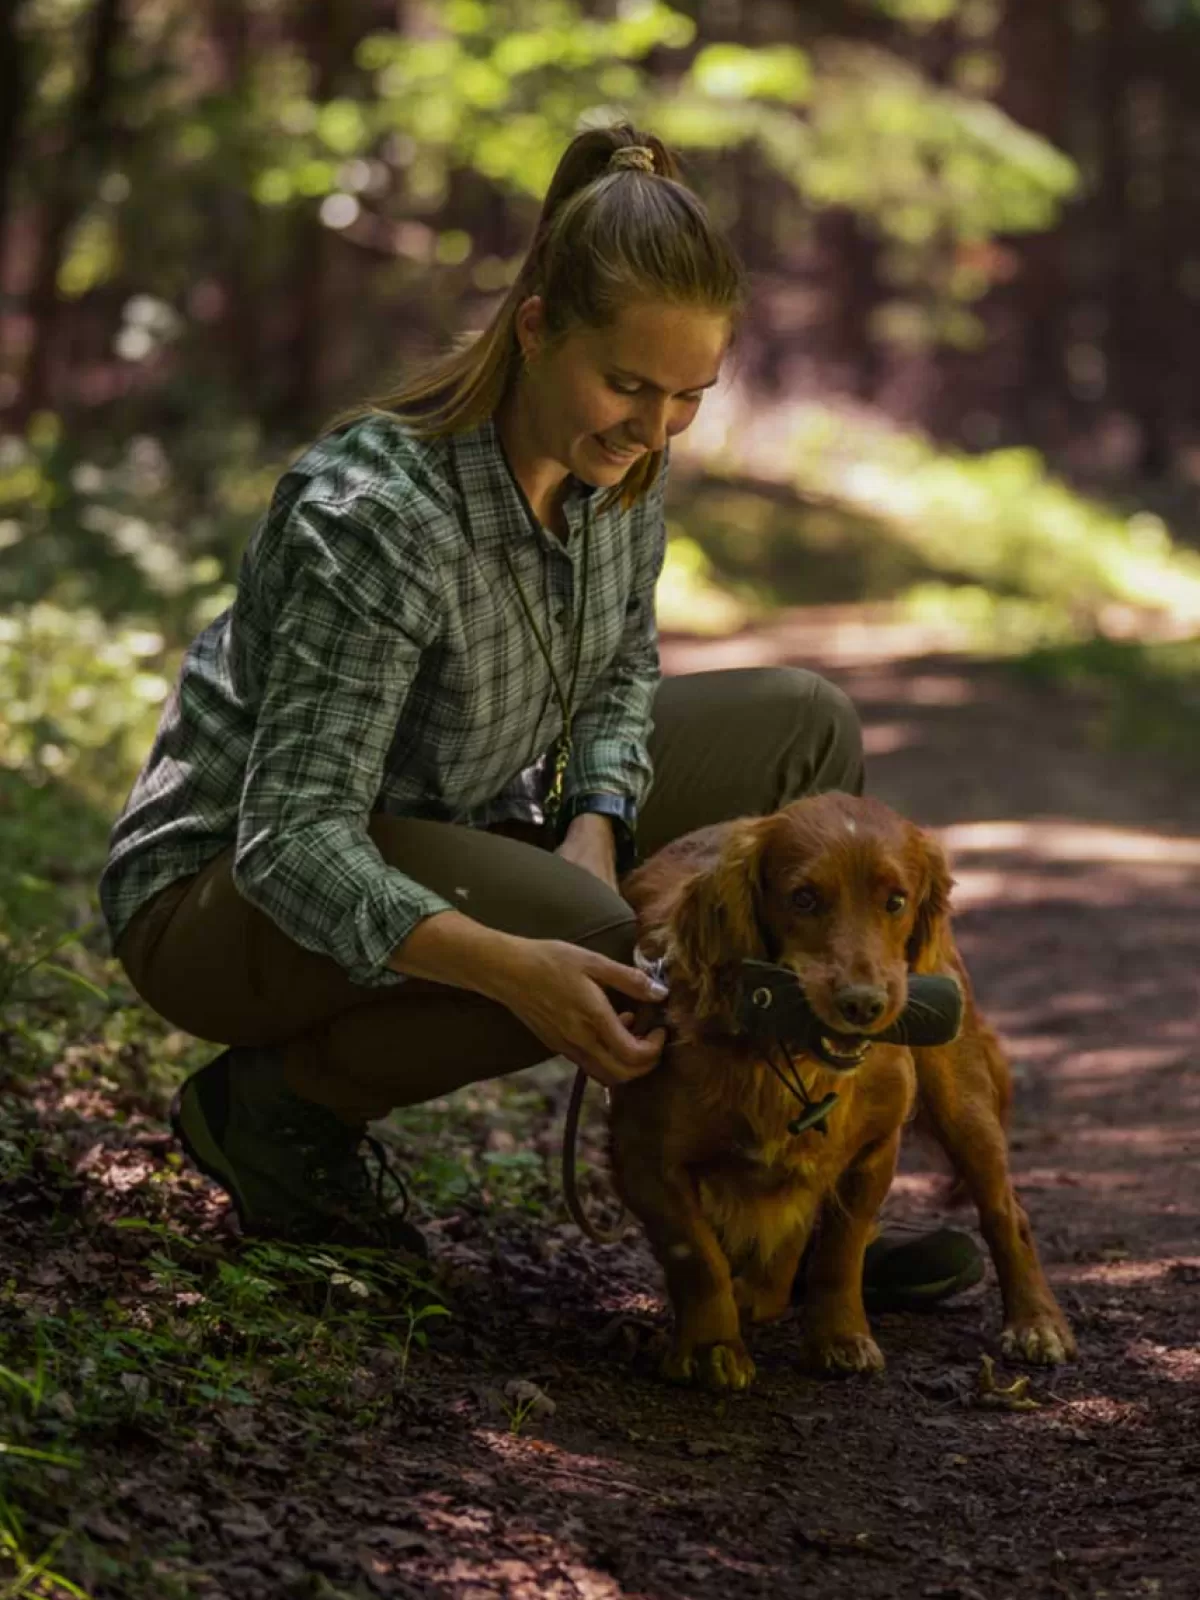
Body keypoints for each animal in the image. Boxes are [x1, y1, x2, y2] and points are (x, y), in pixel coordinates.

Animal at [611, 790, 1081, 1388]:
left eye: (896, 901)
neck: (790, 1058)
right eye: (804, 898)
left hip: (962, 1101)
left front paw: (839, 1337)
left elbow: (841, 1250)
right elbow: (696, 1254)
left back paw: (1036, 1322)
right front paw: (712, 1346)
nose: (863, 1005)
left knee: (1006, 1210)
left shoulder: (874, 1149)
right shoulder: (642, 1158)